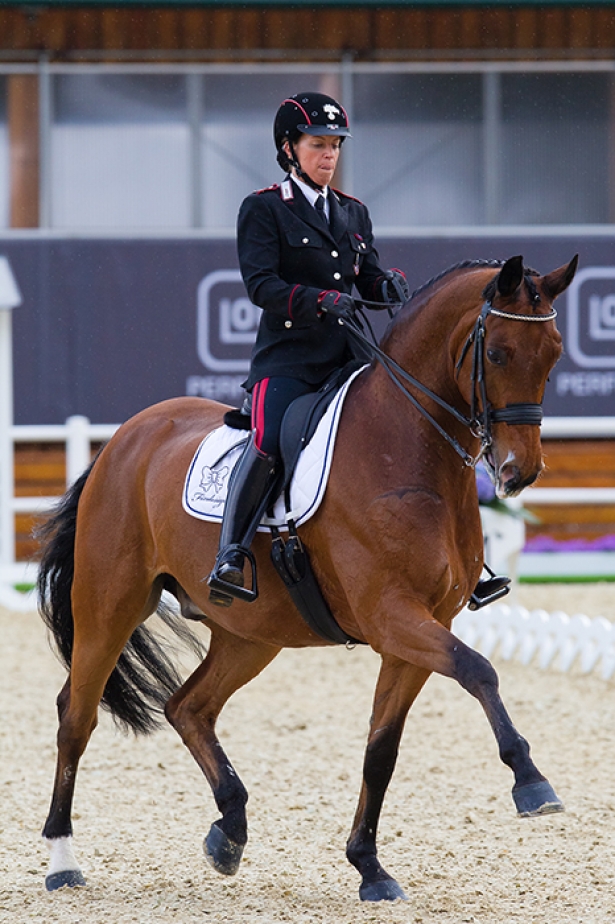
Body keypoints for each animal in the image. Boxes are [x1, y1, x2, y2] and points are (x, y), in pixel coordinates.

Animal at [37, 253, 576, 904]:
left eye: (553, 353)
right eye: (496, 353)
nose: (520, 472)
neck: (405, 449)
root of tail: (124, 438)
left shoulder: (418, 629)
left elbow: (381, 749)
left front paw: (369, 866)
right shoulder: (393, 615)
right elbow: (480, 670)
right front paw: (531, 781)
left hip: (250, 633)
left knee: (189, 707)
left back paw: (229, 830)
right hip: (110, 605)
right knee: (77, 715)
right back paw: (63, 860)